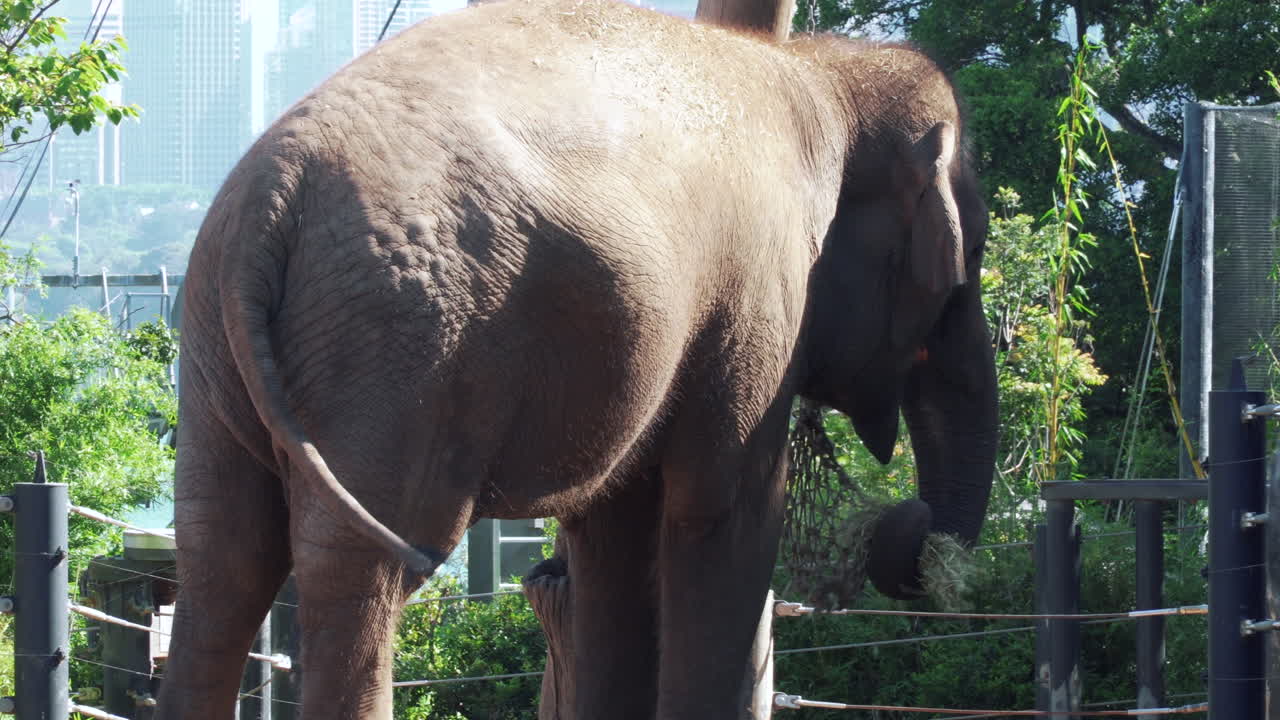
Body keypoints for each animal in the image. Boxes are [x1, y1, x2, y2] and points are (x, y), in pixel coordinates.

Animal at [154, 0, 998, 718]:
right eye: (968, 261)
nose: (913, 524)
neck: (820, 75)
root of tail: (270, 195)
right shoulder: (762, 285)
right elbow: (726, 509)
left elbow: (614, 529)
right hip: (397, 340)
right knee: (361, 564)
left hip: (216, 345)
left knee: (223, 556)